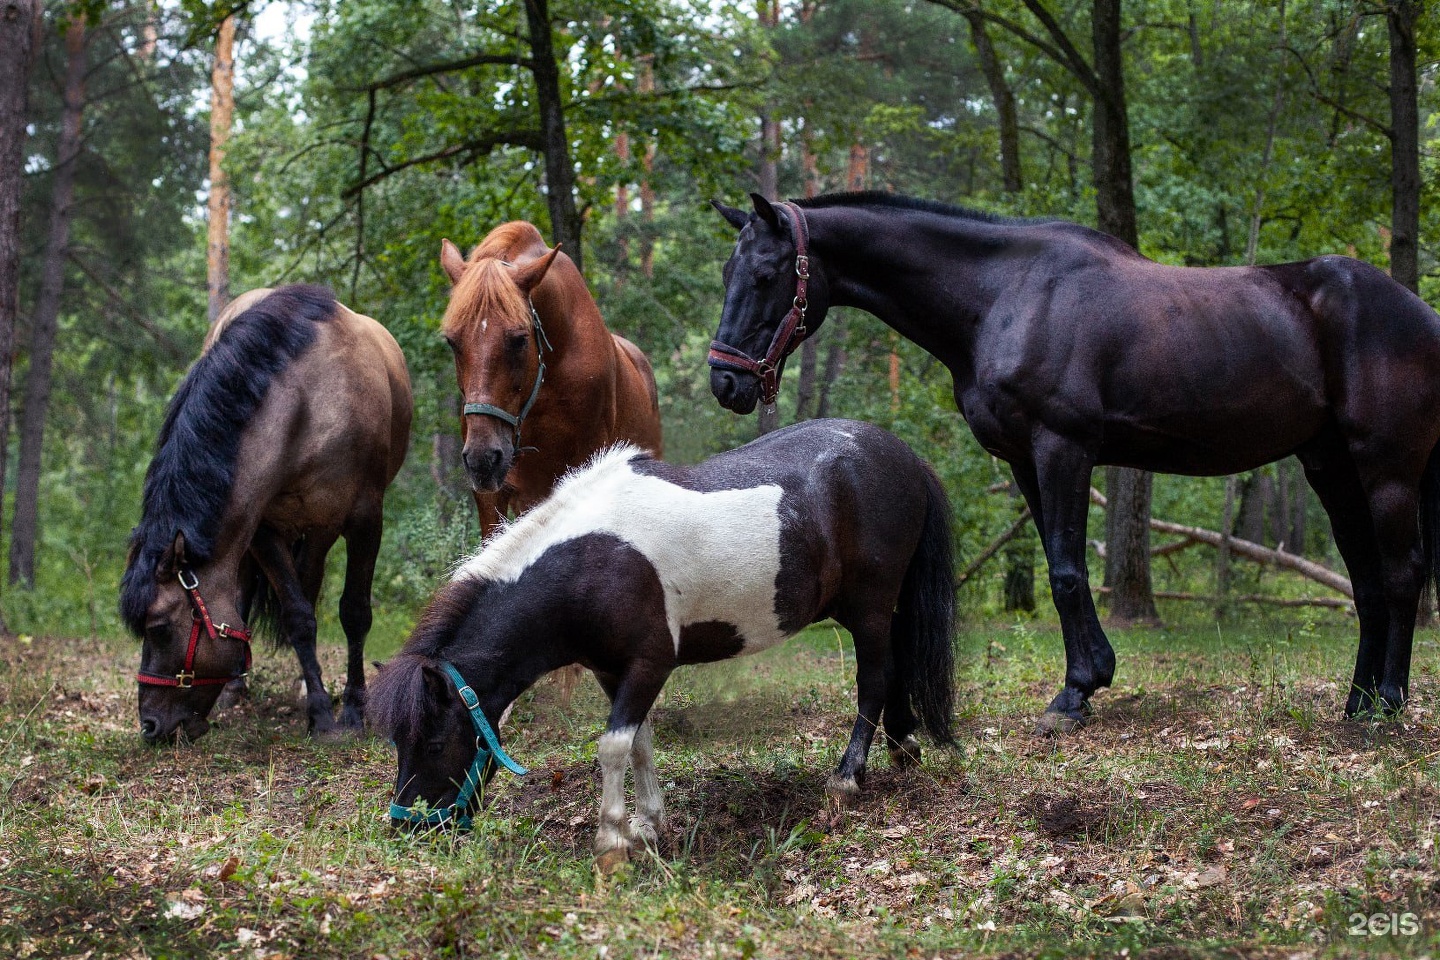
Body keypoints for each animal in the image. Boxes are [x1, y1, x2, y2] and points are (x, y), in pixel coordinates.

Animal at [118, 284, 414, 742]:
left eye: (159, 628)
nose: (150, 726)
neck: (307, 405)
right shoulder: (261, 529)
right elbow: (296, 616)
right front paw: (320, 714)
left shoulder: (365, 520)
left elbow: (354, 612)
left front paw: (353, 709)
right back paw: (237, 686)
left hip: (322, 529)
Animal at [371, 420, 956, 863]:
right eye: (399, 742)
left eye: (433, 743)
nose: (409, 827)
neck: (592, 565)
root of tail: (906, 456)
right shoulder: (614, 671)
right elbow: (640, 743)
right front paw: (649, 824)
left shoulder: (650, 664)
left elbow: (612, 746)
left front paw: (612, 840)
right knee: (896, 666)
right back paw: (904, 747)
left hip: (870, 607)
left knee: (874, 680)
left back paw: (847, 779)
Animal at [705, 191, 1440, 731]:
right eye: (728, 272)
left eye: (767, 275)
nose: (726, 382)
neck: (1004, 295)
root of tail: (1421, 314)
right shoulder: (1025, 460)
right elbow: (1062, 565)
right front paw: (1085, 681)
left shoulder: (1063, 447)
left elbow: (1064, 570)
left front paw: (1076, 693)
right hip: (1332, 470)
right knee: (1368, 582)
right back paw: (1357, 704)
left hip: (1388, 471)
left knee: (1401, 574)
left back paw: (1389, 704)